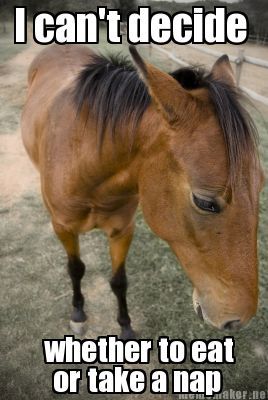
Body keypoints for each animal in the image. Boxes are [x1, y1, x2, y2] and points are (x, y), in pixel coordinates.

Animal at [21, 43, 264, 338]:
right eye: (204, 202)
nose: (239, 319)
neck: (86, 163)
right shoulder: (63, 228)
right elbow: (75, 269)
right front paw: (78, 314)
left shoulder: (122, 230)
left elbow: (119, 281)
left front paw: (125, 326)